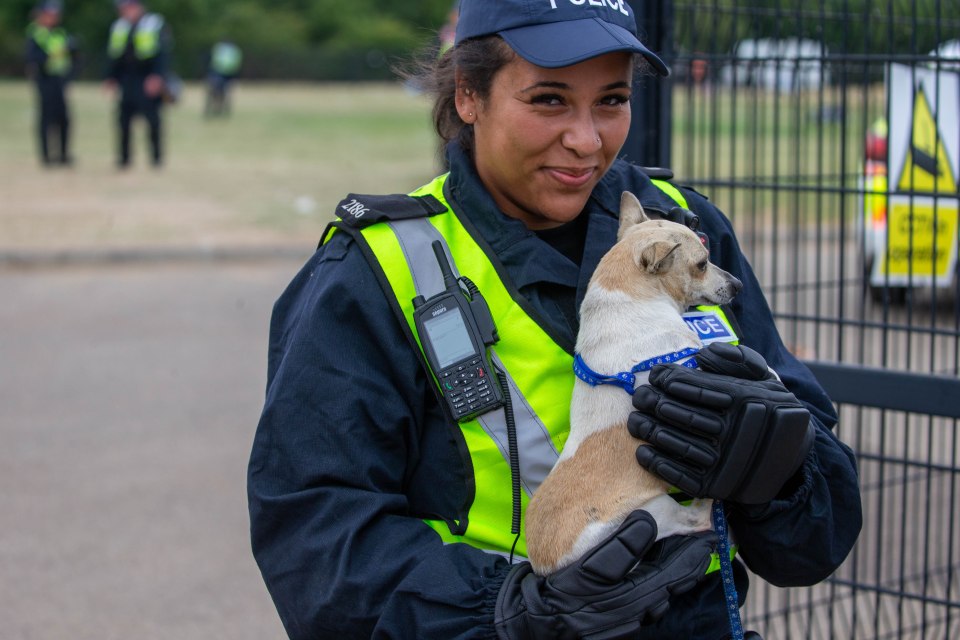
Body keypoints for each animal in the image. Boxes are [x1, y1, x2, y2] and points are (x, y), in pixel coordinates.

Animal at [524, 190, 744, 576]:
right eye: (702, 263)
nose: (738, 285)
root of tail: (548, 568)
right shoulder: (686, 362)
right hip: (652, 512)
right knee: (693, 521)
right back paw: (709, 504)